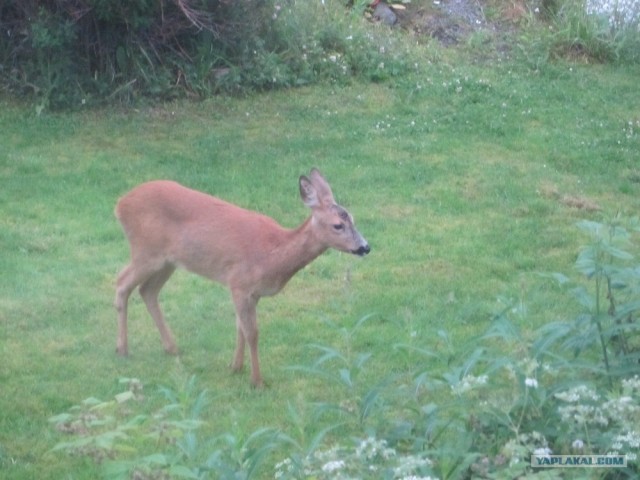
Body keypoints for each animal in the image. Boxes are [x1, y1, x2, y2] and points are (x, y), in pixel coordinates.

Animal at [115, 169, 370, 386]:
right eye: (337, 225)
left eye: (353, 219)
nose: (365, 247)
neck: (273, 254)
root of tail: (120, 204)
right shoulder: (239, 283)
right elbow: (252, 333)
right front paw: (257, 381)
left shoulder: (250, 292)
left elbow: (240, 327)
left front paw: (236, 367)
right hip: (146, 250)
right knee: (121, 283)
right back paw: (122, 349)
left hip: (168, 261)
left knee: (147, 290)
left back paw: (172, 348)